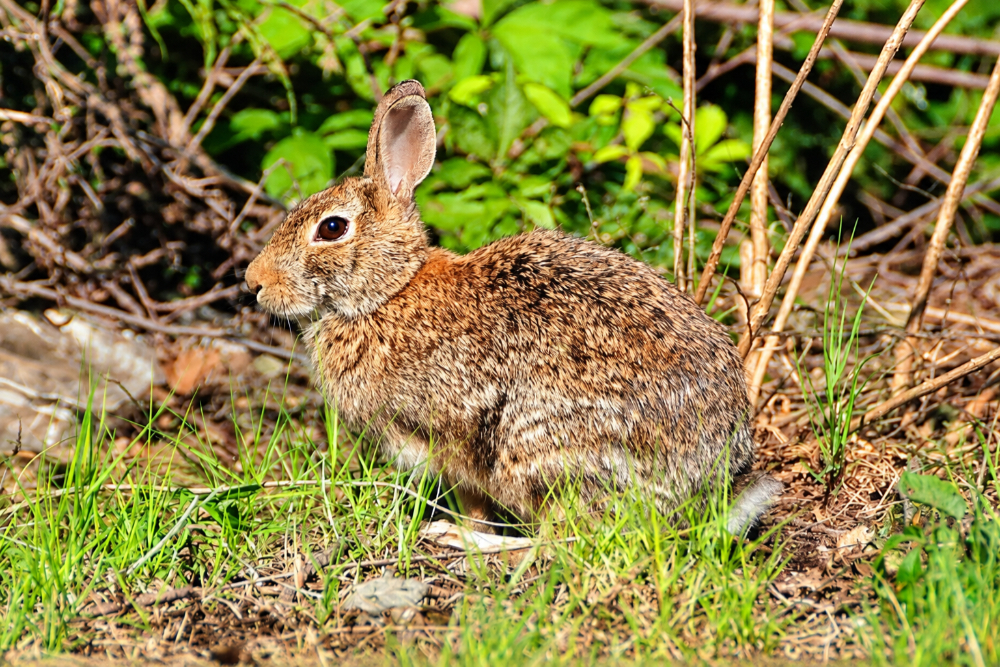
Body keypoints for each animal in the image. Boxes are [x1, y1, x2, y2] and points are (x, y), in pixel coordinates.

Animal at [245, 80, 781, 534]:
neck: (389, 291)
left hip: (542, 451)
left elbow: (473, 500)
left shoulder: (452, 435)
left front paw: (464, 529)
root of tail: (707, 486)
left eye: (332, 228)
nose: (254, 282)